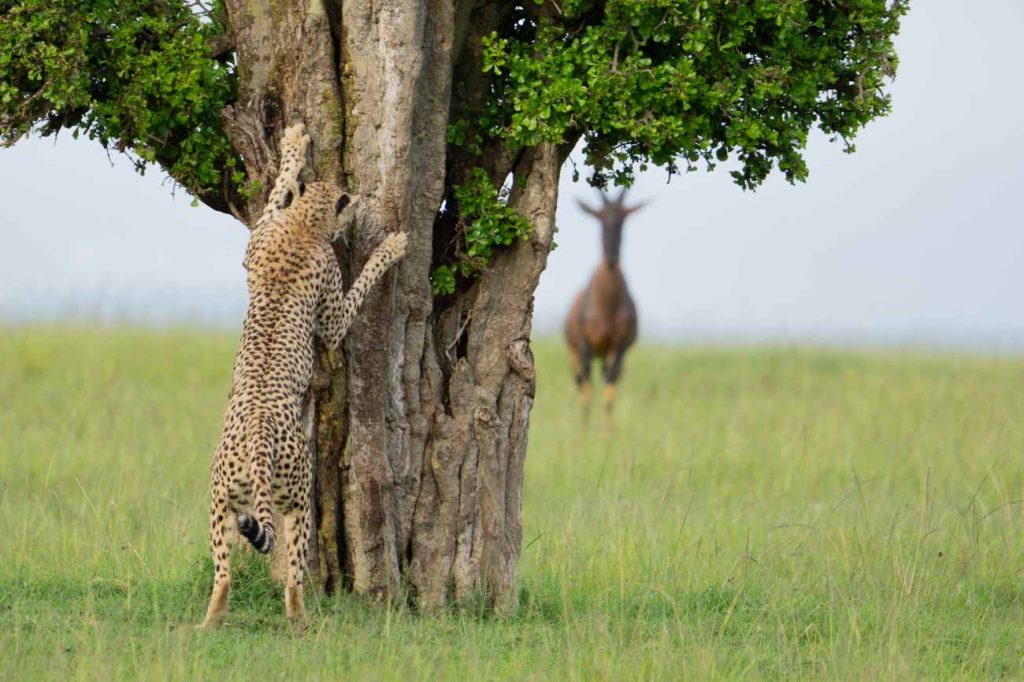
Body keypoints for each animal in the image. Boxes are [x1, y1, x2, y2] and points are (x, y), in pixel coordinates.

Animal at [199, 120, 407, 626]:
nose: (359, 206)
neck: (303, 225)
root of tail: (257, 435)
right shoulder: (330, 316)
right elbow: (356, 291)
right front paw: (389, 248)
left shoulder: (256, 241)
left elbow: (277, 192)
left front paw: (293, 147)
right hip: (296, 499)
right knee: (293, 573)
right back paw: (301, 622)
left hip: (220, 501)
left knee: (223, 573)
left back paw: (210, 621)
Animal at [565, 188, 643, 417]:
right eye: (599, 217)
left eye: (624, 218)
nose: (611, 259)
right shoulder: (585, 347)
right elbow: (587, 391)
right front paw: (585, 427)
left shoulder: (619, 347)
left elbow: (609, 392)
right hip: (574, 354)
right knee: (581, 382)